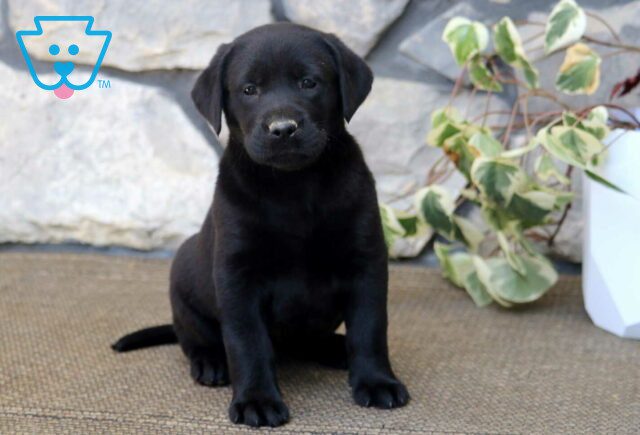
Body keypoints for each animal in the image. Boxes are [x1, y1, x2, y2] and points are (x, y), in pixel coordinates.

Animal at [112, 22, 408, 428]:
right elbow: (246, 342)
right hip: (184, 286)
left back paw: (335, 348)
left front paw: (377, 381)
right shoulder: (238, 276)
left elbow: (370, 327)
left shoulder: (367, 261)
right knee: (194, 339)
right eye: (249, 90)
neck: (295, 186)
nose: (282, 128)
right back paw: (210, 362)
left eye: (309, 83)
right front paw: (256, 400)